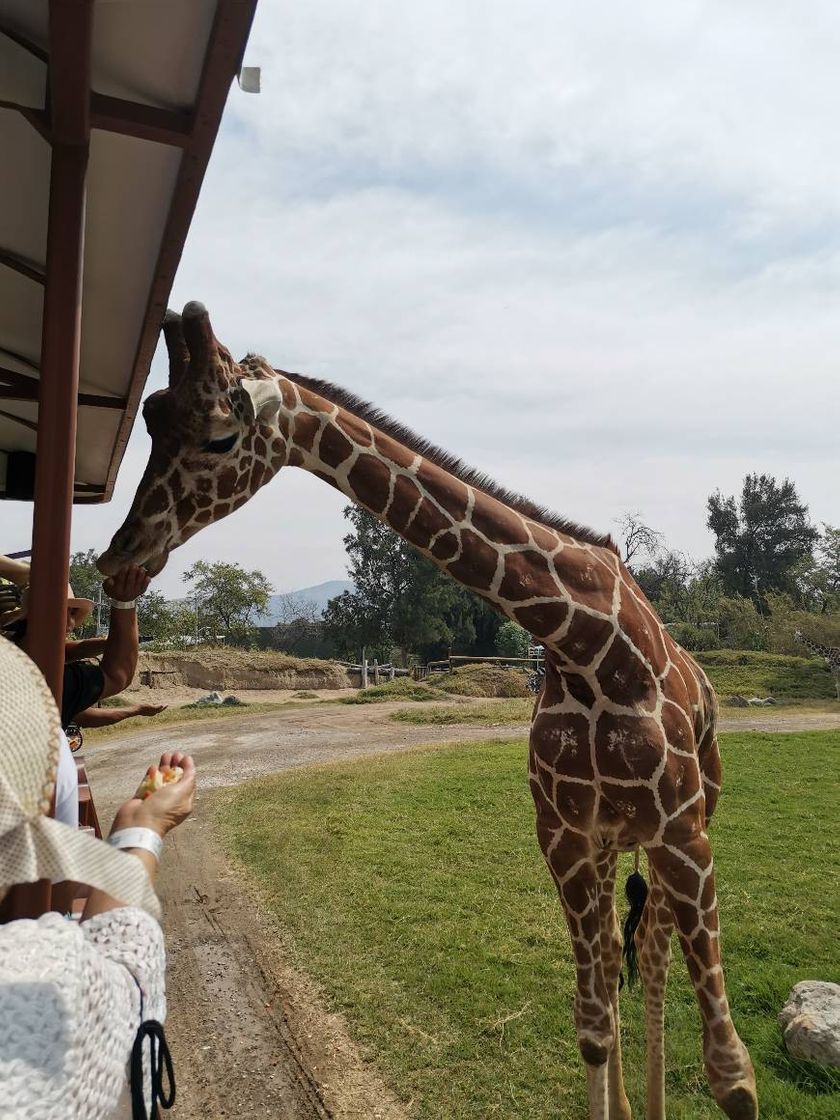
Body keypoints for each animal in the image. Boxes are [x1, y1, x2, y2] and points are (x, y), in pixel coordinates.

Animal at [100, 300, 761, 1120]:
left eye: (220, 435)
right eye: (154, 416)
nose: (118, 559)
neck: (585, 644)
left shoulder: (685, 836)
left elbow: (733, 1074)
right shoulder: (564, 837)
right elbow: (591, 1024)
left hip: (687, 824)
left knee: (654, 949)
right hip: (613, 843)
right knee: (617, 956)